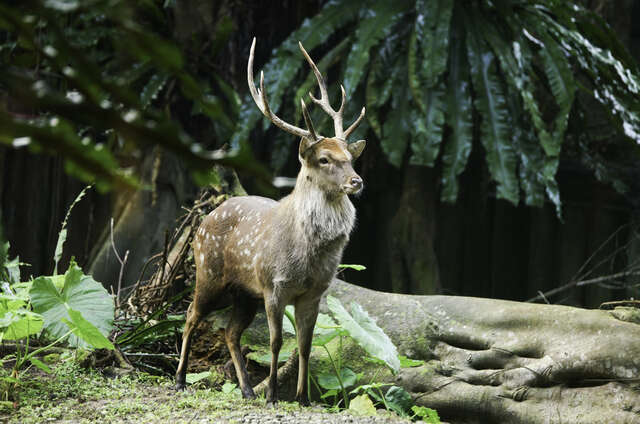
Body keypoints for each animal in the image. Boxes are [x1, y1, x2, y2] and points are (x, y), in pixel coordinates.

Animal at [175, 37, 366, 406]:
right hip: (209, 274)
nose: (357, 181)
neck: (306, 257)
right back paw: (179, 380)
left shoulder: (314, 293)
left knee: (230, 332)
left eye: (350, 157)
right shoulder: (273, 286)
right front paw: (274, 396)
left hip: (243, 293)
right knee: (190, 316)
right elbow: (278, 342)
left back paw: (247, 389)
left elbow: (306, 345)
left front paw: (303, 398)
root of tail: (204, 221)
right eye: (324, 159)